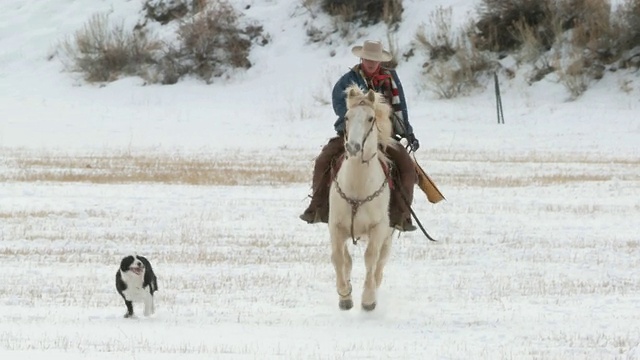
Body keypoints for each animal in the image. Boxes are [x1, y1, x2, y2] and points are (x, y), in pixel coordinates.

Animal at [330, 83, 396, 310]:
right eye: (347, 117)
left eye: (370, 118)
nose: (353, 147)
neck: (358, 186)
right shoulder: (335, 226)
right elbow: (338, 258)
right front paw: (344, 296)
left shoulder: (378, 228)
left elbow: (370, 258)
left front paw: (368, 300)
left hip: (388, 236)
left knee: (381, 264)